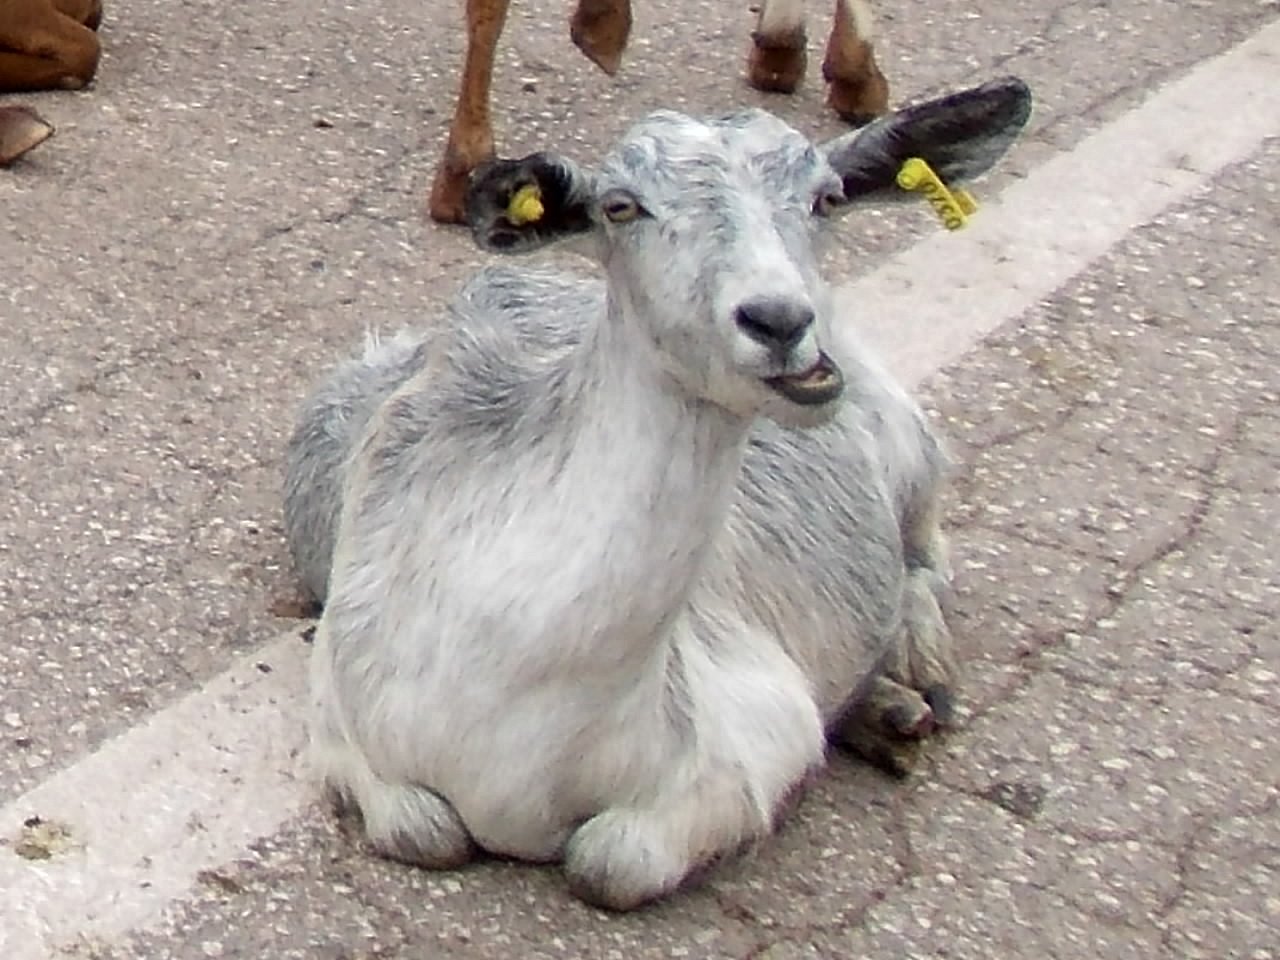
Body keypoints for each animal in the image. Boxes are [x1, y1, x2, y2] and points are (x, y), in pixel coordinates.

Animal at [284, 76, 1032, 910]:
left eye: (828, 198)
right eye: (621, 206)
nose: (780, 321)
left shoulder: (753, 735)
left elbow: (610, 862)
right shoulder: (346, 727)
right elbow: (427, 832)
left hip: (908, 446)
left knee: (930, 559)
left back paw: (917, 676)